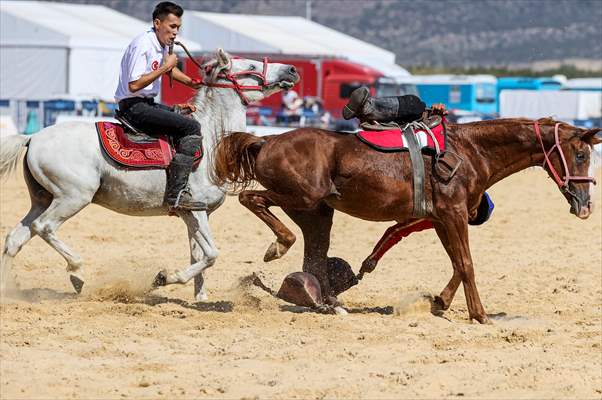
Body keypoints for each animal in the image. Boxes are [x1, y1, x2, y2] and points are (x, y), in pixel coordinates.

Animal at [0, 49, 300, 300]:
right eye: (250, 66)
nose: (292, 70)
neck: (211, 141)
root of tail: (32, 138)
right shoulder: (196, 209)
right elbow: (212, 254)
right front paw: (165, 277)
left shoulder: (193, 213)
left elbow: (198, 256)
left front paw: (200, 297)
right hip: (73, 197)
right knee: (44, 227)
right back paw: (77, 273)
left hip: (42, 199)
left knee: (15, 238)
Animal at [213, 118, 596, 322]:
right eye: (580, 154)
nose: (585, 206)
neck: (470, 152)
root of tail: (267, 140)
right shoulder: (454, 215)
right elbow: (467, 264)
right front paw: (480, 314)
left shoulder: (441, 219)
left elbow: (457, 264)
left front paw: (441, 302)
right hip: (303, 198)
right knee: (252, 200)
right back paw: (279, 247)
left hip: (317, 212)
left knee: (315, 255)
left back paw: (324, 301)